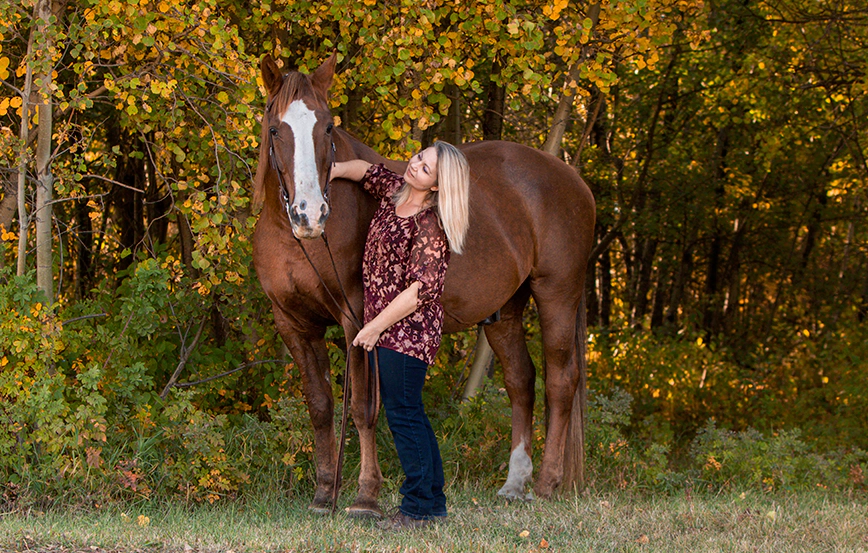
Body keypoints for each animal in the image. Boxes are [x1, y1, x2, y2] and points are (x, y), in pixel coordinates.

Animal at [248, 54, 592, 516]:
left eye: (327, 127)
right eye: (275, 129)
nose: (310, 213)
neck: (299, 241)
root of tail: (573, 180)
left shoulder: (357, 319)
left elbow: (362, 407)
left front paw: (366, 494)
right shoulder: (293, 324)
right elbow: (320, 406)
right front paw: (323, 494)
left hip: (557, 294)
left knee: (560, 381)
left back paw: (547, 483)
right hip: (504, 312)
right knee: (522, 381)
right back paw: (514, 483)